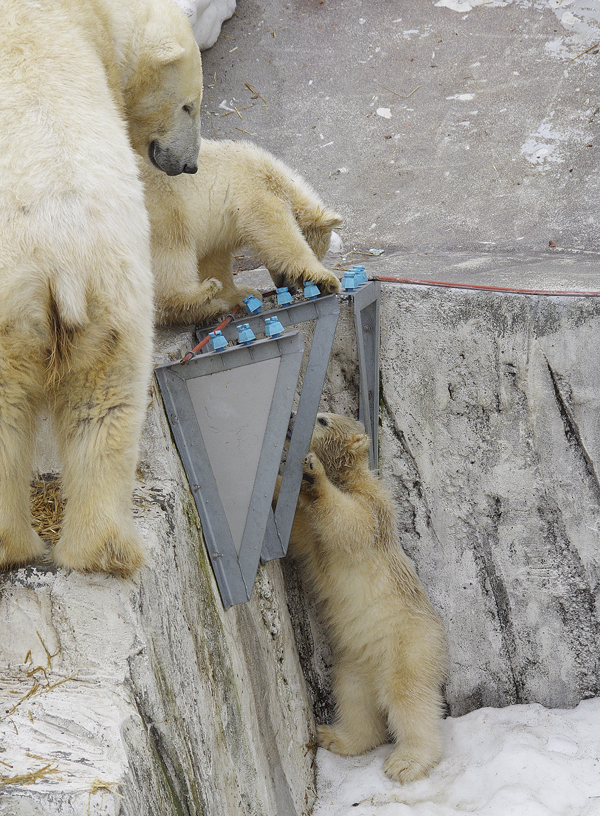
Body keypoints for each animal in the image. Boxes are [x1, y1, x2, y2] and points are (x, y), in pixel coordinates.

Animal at [0, 0, 204, 572]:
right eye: (189, 106)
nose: (189, 164)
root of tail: (60, 261)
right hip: (114, 294)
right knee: (104, 401)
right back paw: (88, 548)